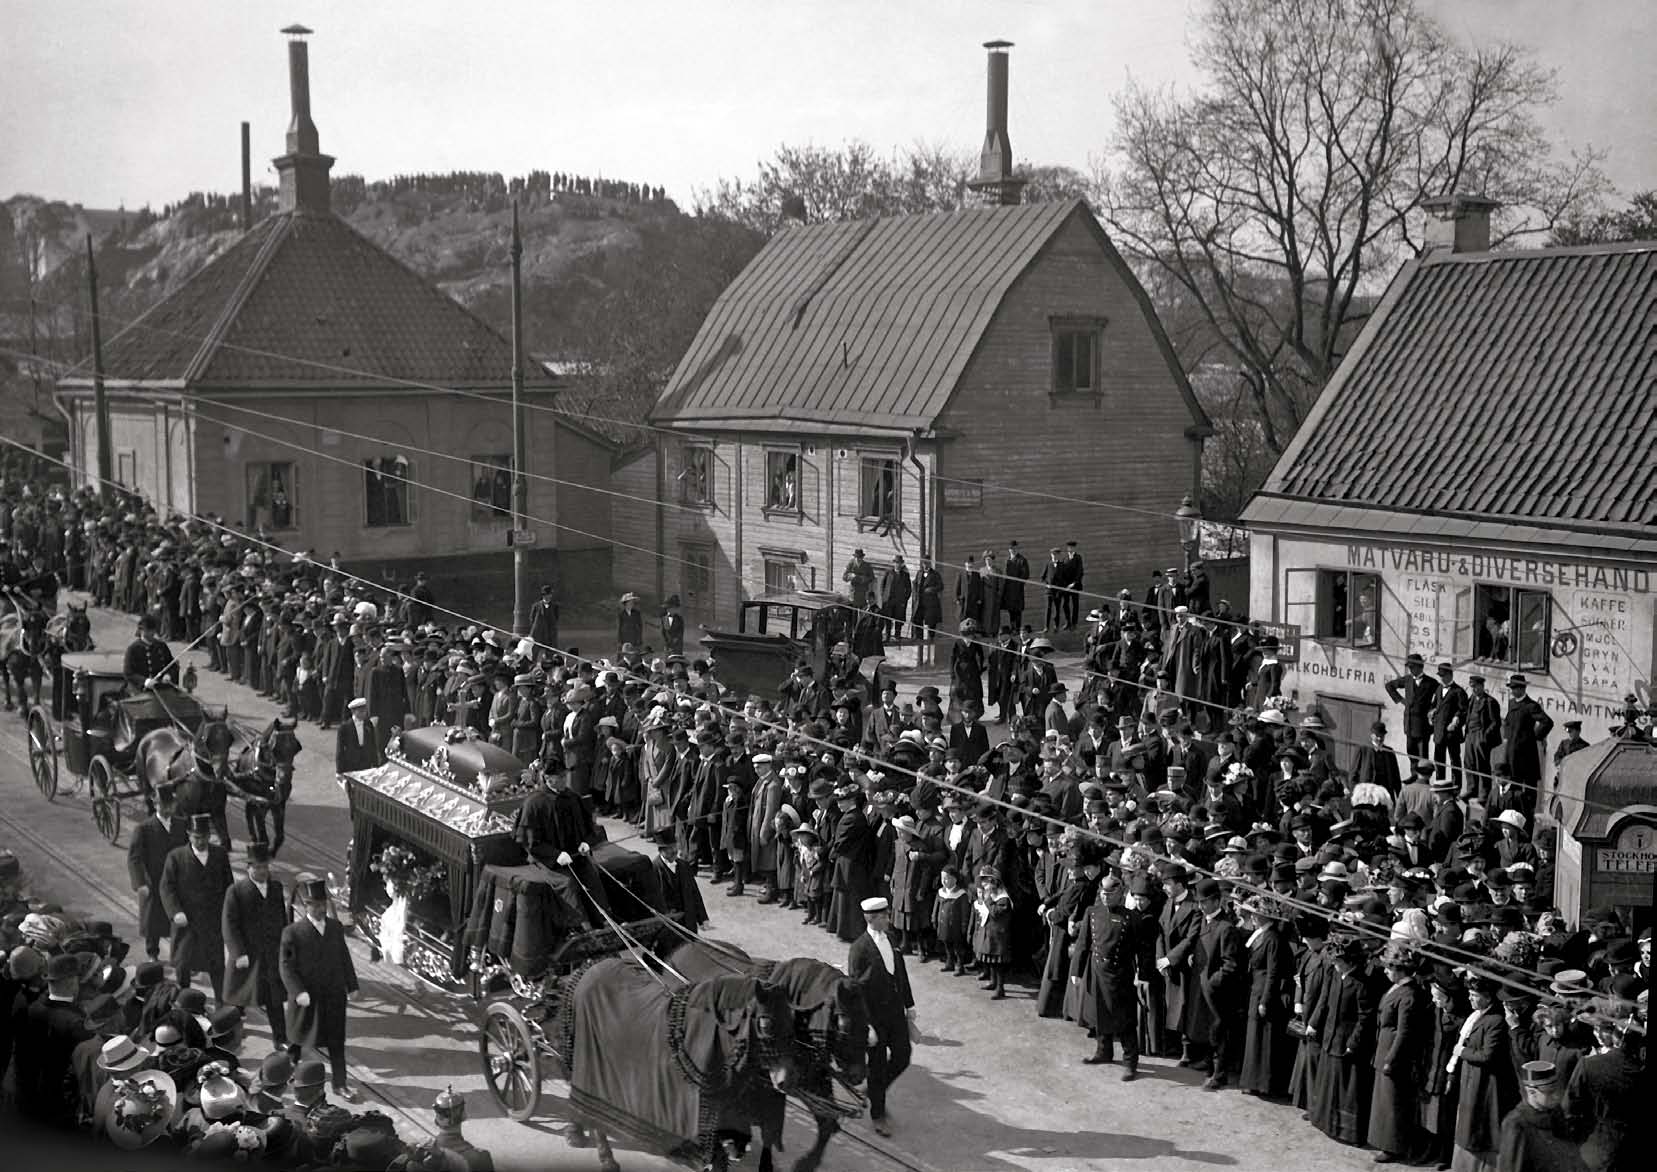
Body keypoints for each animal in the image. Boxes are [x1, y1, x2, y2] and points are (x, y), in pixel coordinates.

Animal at [669, 941, 874, 1172]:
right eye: (843, 1022)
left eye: (867, 1017)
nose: (859, 1074)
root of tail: (684, 947)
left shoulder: (804, 1080)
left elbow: (825, 1122)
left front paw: (806, 1163)